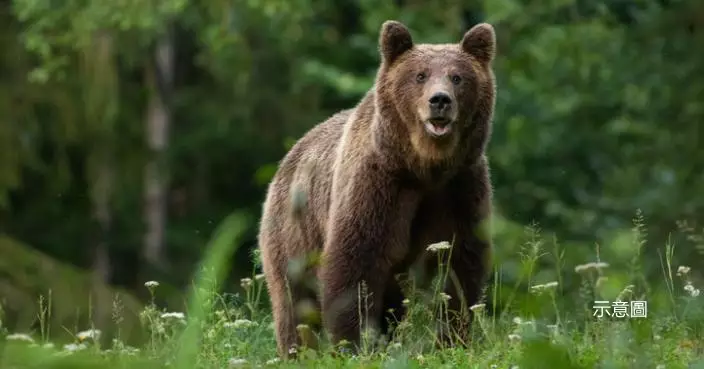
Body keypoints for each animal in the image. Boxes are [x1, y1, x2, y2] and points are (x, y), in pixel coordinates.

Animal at [258, 19, 496, 356]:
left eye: (457, 77)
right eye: (420, 75)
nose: (440, 100)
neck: (424, 167)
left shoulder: (459, 187)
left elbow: (460, 267)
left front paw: (452, 340)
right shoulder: (378, 185)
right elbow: (355, 264)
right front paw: (355, 343)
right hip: (293, 231)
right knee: (295, 302)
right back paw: (298, 351)